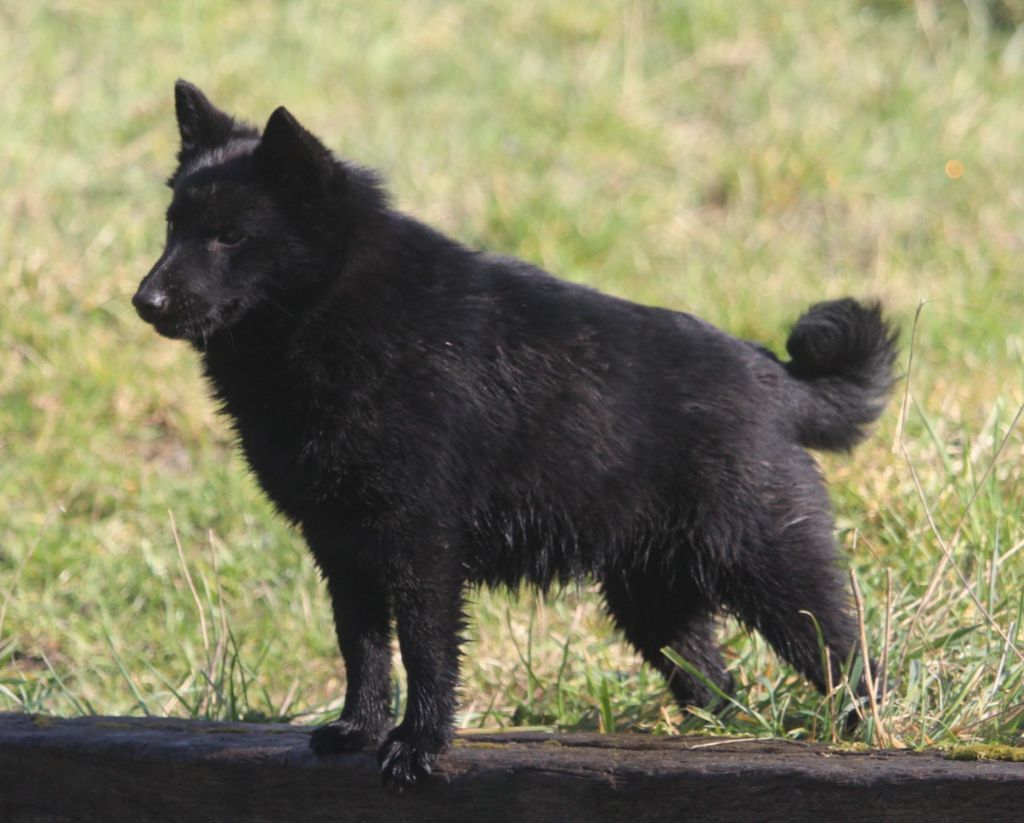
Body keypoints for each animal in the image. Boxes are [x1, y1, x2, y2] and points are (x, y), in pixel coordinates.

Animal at [134, 80, 897, 786]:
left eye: (231, 235)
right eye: (172, 226)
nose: (145, 301)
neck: (335, 314)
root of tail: (776, 379)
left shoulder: (423, 546)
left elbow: (426, 651)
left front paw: (418, 746)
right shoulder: (343, 548)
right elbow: (364, 649)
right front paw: (359, 730)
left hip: (775, 575)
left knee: (851, 659)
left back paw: (867, 735)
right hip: (652, 601)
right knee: (717, 685)